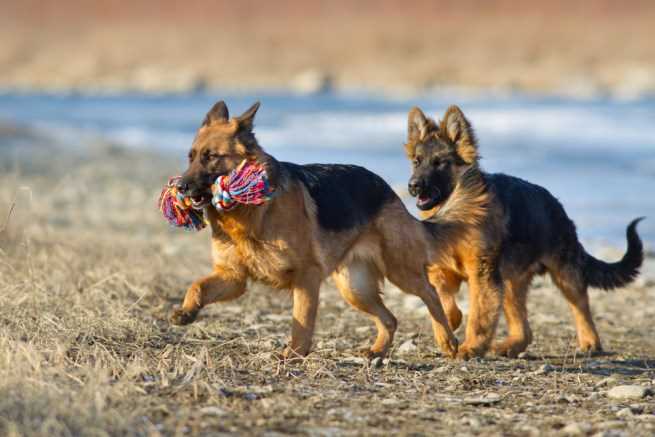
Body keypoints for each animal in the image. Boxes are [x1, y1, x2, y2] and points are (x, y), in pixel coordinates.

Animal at [168, 101, 462, 358]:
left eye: (211, 158)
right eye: (190, 157)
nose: (179, 187)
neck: (250, 212)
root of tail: (388, 189)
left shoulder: (306, 277)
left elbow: (302, 321)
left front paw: (294, 356)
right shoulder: (233, 277)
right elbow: (196, 286)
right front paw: (186, 312)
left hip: (399, 270)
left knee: (431, 294)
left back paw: (447, 338)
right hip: (355, 288)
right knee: (390, 318)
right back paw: (378, 351)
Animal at [404, 105, 644, 358]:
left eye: (439, 163)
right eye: (417, 162)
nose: (412, 186)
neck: (456, 210)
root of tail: (557, 207)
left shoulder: (483, 276)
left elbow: (478, 318)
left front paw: (470, 347)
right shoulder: (442, 270)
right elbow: (441, 298)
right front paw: (449, 326)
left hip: (564, 274)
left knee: (580, 306)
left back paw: (590, 342)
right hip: (510, 283)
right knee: (525, 331)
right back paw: (509, 346)